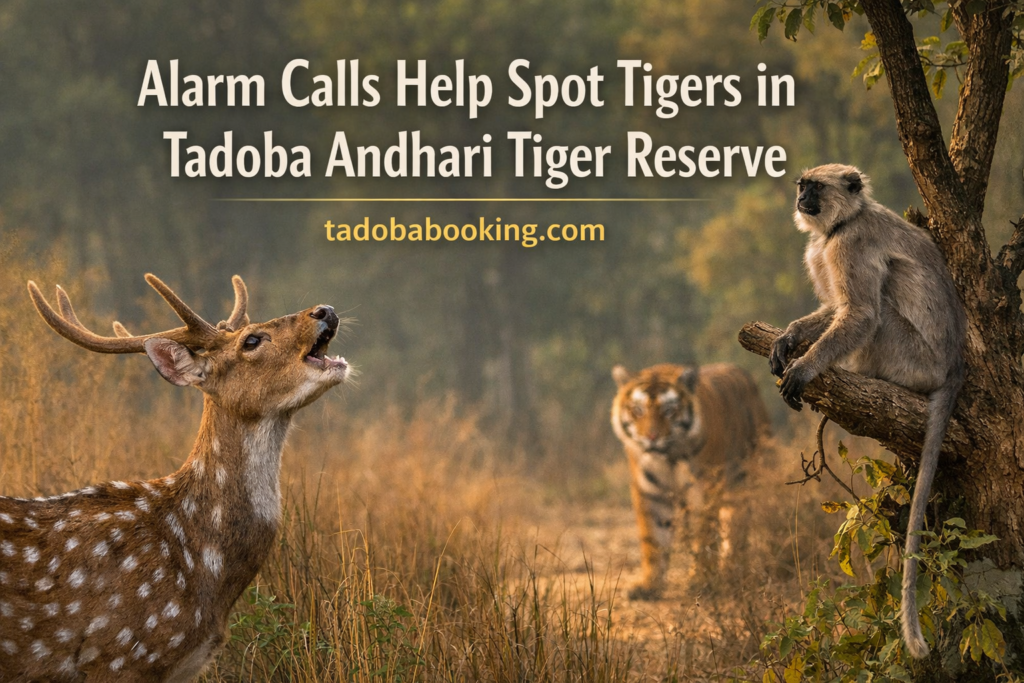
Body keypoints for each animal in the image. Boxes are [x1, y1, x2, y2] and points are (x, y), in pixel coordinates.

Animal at [611, 362, 770, 599]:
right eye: (638, 410)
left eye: (669, 411)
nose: (651, 437)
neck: (668, 455)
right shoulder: (650, 492)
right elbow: (653, 539)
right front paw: (649, 585)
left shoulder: (705, 490)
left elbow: (704, 537)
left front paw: (700, 581)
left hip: (742, 483)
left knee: (736, 530)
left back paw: (732, 571)